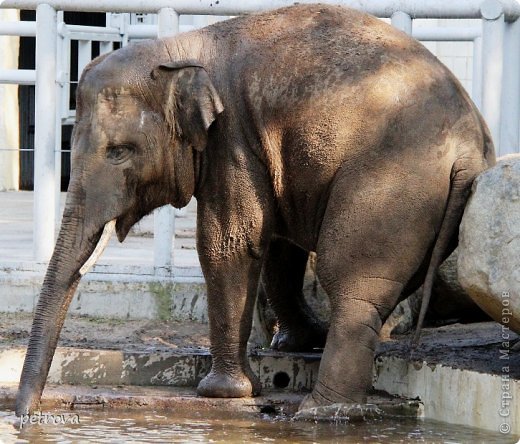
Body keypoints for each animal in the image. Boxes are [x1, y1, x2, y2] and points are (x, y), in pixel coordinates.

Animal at [17, 4, 496, 416]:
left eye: (118, 152)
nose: (26, 415)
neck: (179, 49)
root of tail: (469, 143)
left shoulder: (232, 140)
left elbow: (229, 245)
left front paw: (223, 393)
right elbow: (279, 246)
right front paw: (294, 343)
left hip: (389, 184)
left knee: (350, 282)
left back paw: (320, 413)